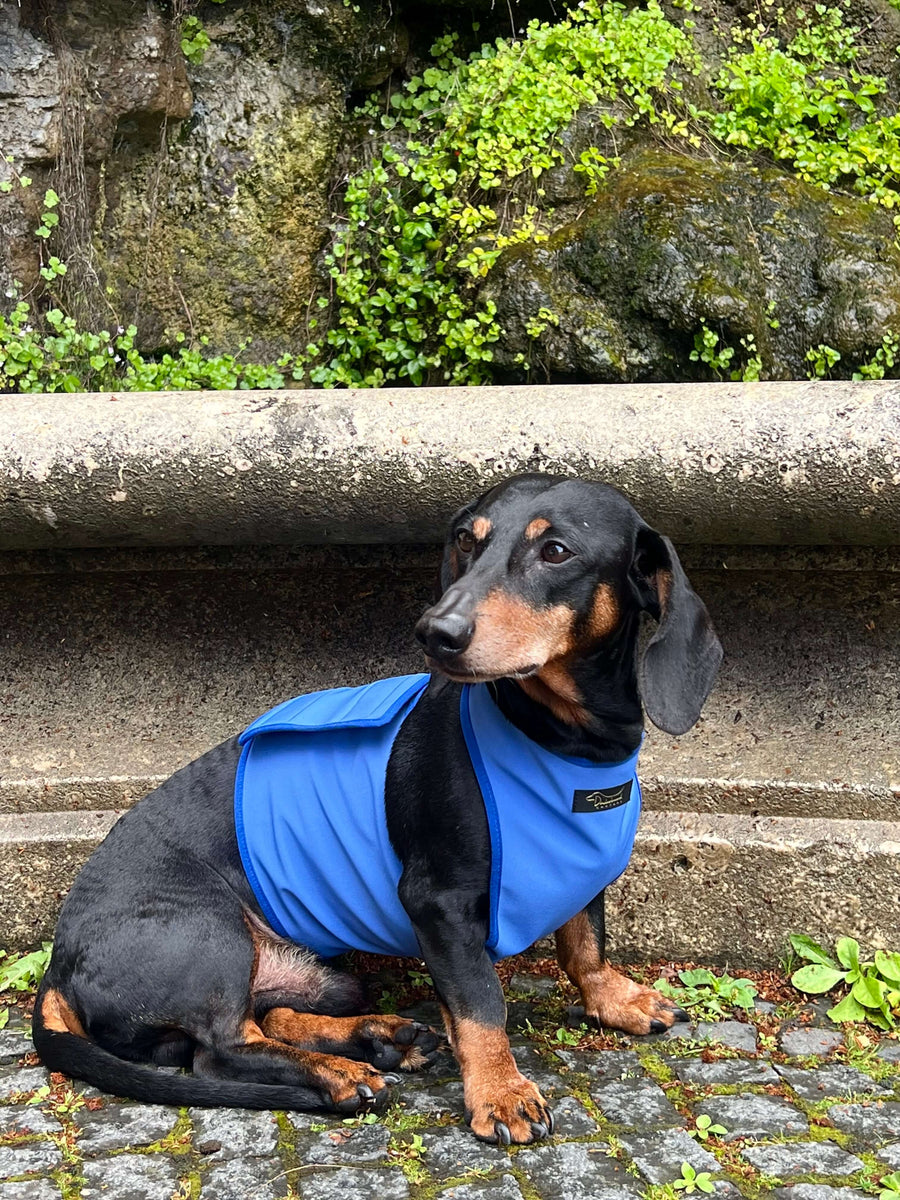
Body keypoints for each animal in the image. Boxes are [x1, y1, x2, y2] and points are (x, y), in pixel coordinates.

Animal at [35, 472, 724, 1147]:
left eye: (556, 551)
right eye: (468, 542)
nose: (436, 632)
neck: (565, 745)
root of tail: (58, 968)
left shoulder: (580, 875)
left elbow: (585, 944)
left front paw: (617, 999)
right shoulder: (438, 905)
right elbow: (481, 1005)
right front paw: (500, 1092)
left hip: (328, 978)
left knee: (272, 1014)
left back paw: (379, 1037)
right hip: (211, 938)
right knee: (220, 1051)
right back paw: (340, 1074)